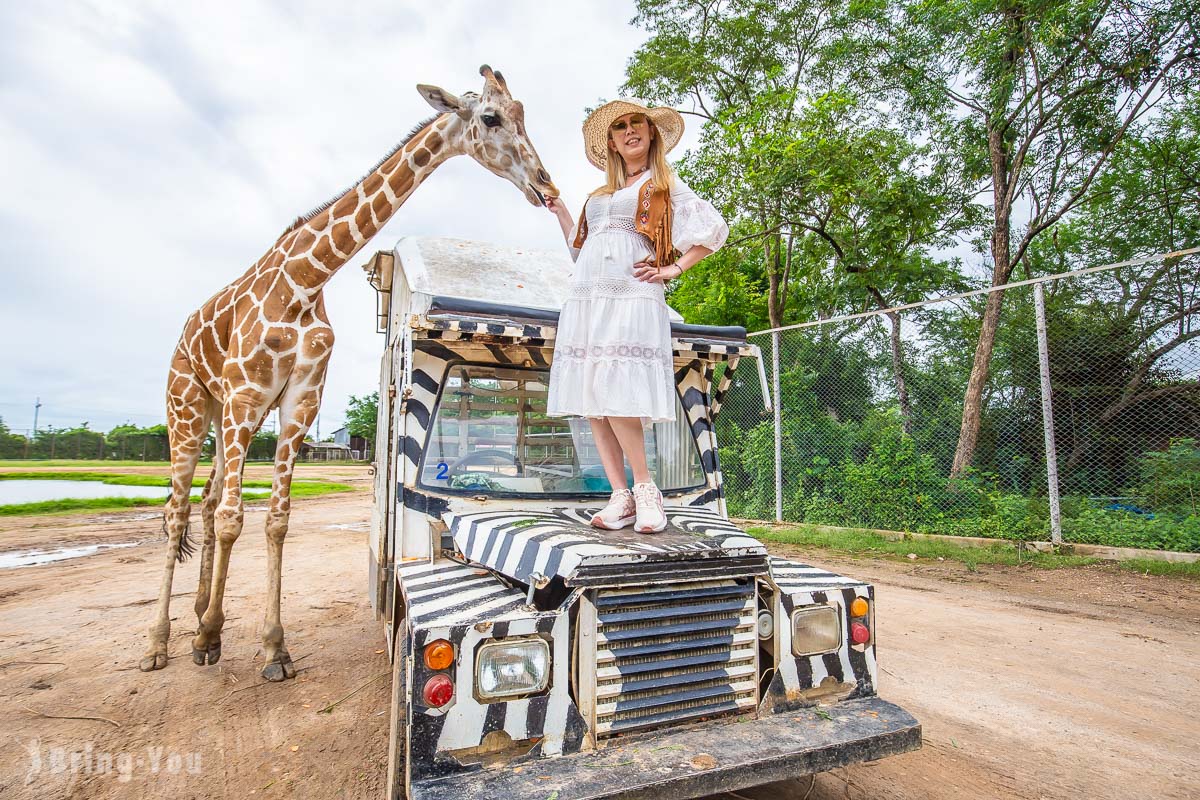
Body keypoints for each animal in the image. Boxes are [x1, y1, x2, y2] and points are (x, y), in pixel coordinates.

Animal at [140, 67, 556, 681]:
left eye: (524, 113)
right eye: (490, 117)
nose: (546, 185)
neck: (304, 280)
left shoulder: (296, 400)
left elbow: (274, 519)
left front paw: (270, 647)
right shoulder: (247, 393)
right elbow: (235, 518)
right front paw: (223, 637)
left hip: (224, 412)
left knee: (210, 499)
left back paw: (200, 624)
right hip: (191, 405)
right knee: (178, 512)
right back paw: (160, 642)